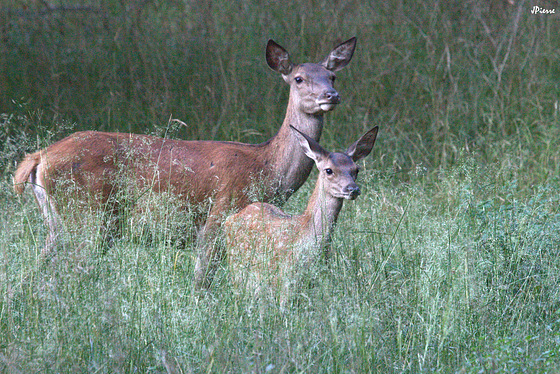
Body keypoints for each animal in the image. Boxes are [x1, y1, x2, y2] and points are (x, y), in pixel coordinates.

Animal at [13, 37, 356, 290]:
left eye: (332, 75)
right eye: (298, 78)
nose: (332, 94)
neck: (267, 166)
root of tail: (39, 158)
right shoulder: (219, 214)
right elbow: (202, 281)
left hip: (59, 222)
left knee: (36, 269)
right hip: (88, 215)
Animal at [225, 124, 378, 306]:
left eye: (356, 170)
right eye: (329, 170)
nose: (352, 189)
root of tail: (230, 218)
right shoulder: (286, 280)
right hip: (237, 269)